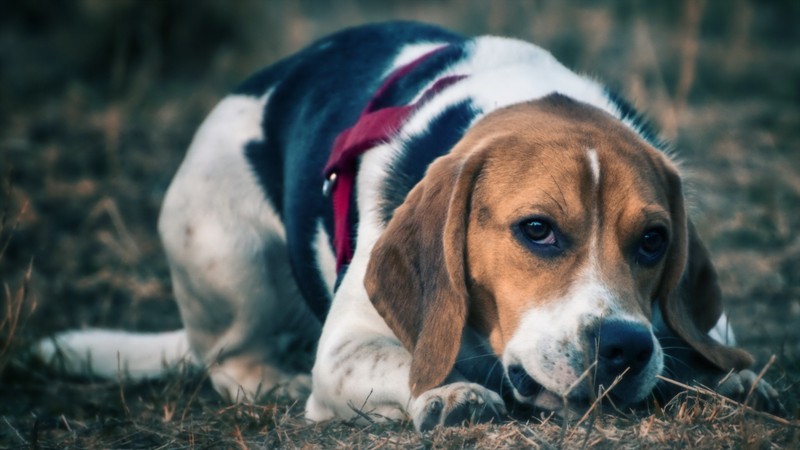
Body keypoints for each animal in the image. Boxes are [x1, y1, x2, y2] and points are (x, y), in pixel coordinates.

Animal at [39, 22, 780, 432]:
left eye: (654, 241)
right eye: (537, 229)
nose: (625, 346)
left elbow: (704, 345)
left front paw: (728, 378)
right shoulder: (344, 352)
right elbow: (407, 366)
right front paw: (451, 393)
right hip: (227, 252)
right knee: (228, 357)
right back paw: (274, 380)